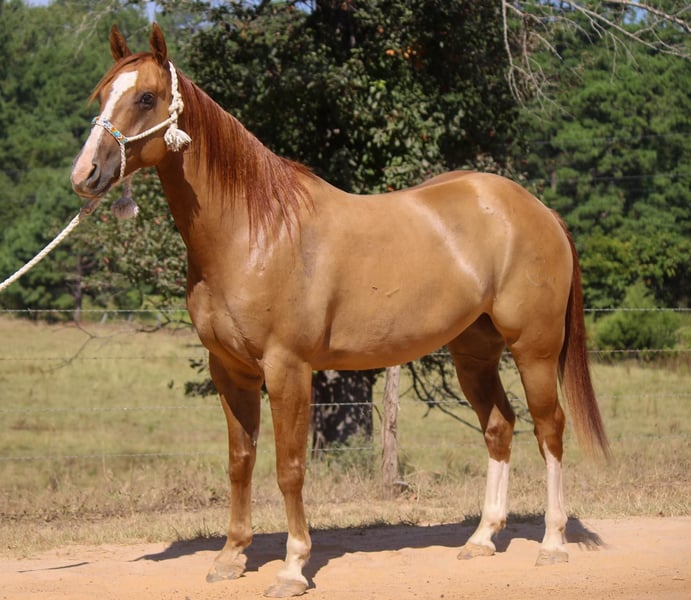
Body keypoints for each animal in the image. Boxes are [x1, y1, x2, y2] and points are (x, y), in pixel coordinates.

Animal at [71, 24, 609, 598]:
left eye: (146, 98)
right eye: (102, 95)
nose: (85, 174)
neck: (254, 232)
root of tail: (538, 210)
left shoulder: (287, 369)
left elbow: (289, 467)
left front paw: (292, 567)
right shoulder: (230, 370)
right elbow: (241, 461)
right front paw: (231, 557)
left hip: (534, 348)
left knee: (549, 428)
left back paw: (552, 544)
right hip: (474, 352)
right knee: (500, 428)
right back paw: (483, 539)